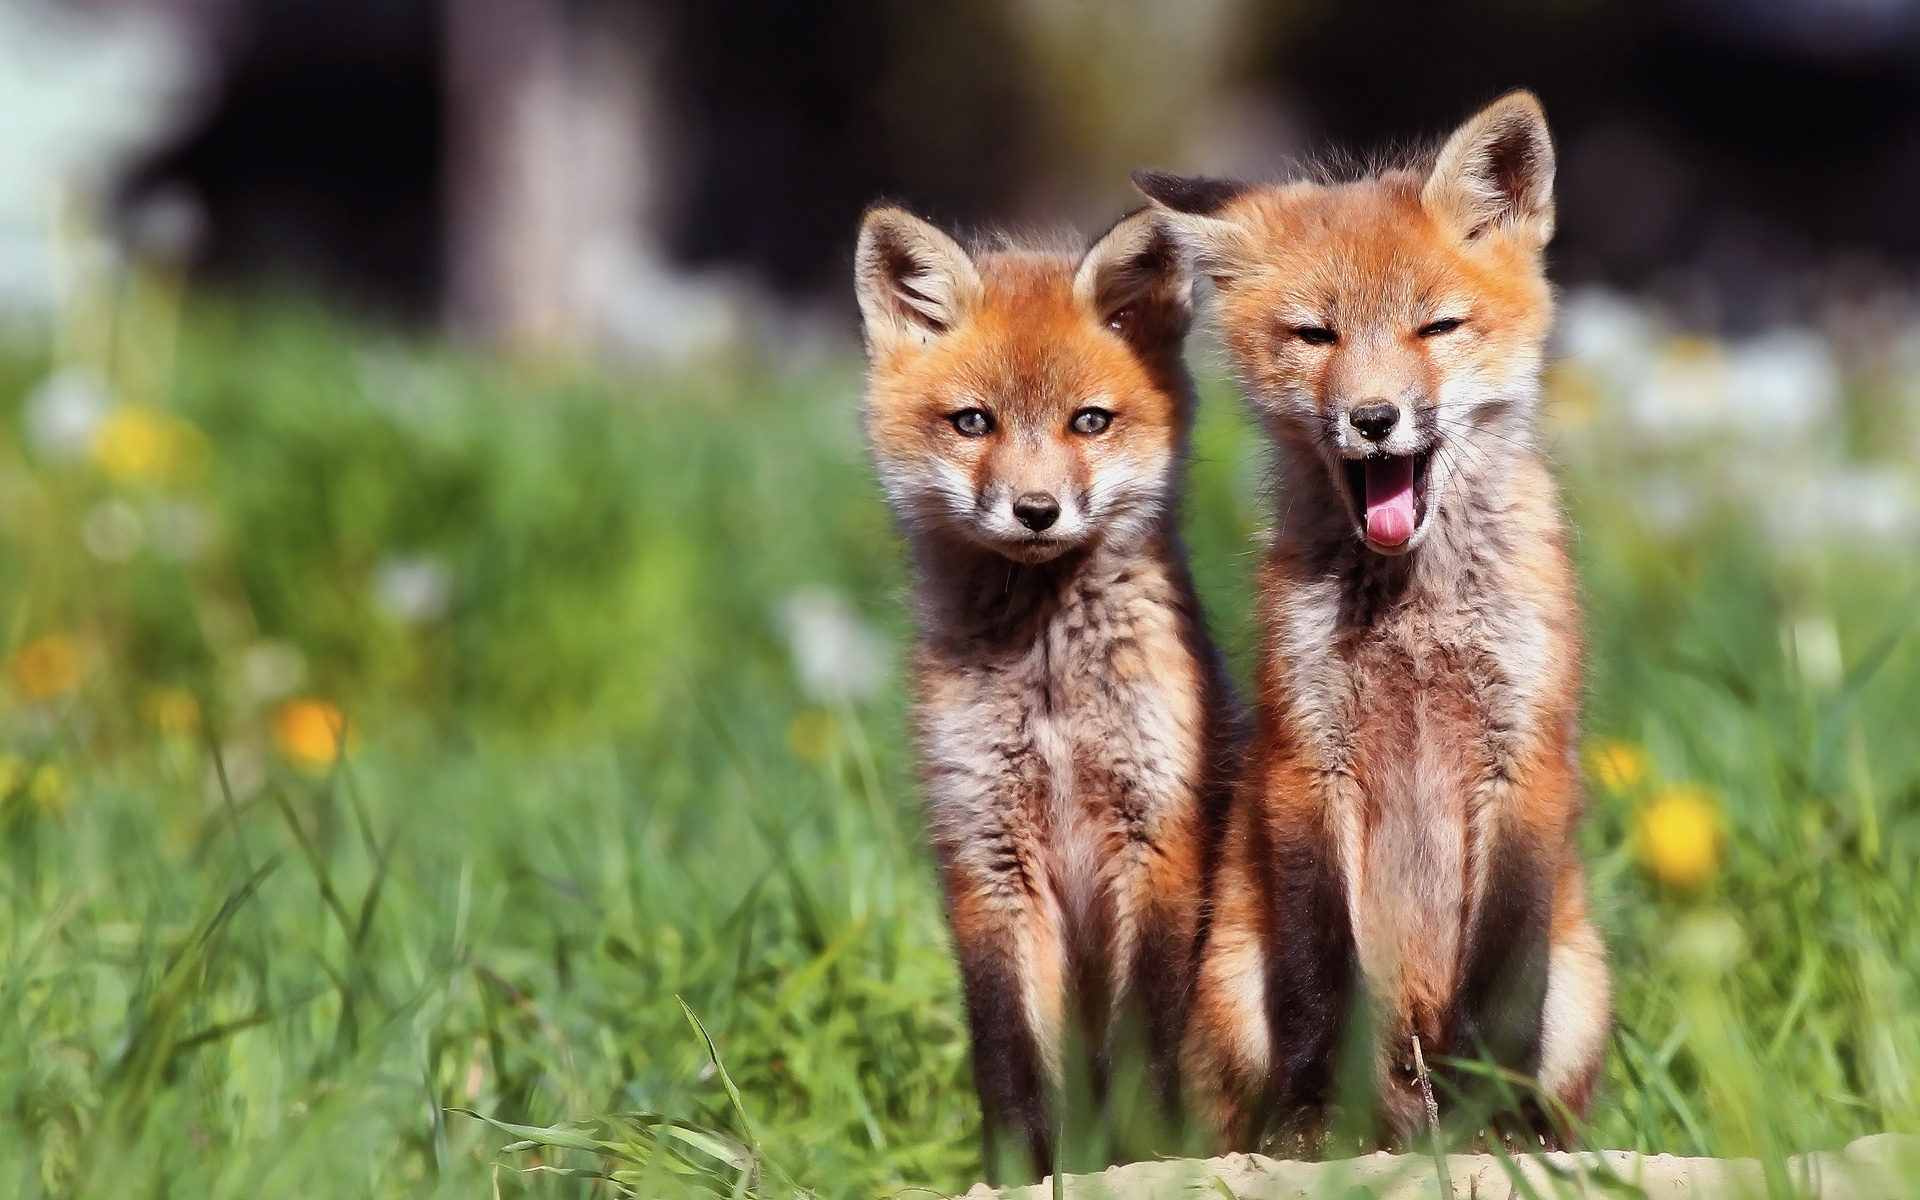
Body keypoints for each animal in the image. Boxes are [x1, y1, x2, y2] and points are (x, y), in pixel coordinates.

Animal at [852, 205, 1241, 1179]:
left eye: (1089, 421)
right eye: (973, 422)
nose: (1036, 511)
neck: (1052, 689)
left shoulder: (1158, 837)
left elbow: (1140, 1044)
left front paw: (1140, 1154)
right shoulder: (986, 851)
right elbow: (1008, 1057)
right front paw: (1020, 1173)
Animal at [1132, 91, 1610, 1149]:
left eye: (1437, 326)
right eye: (1317, 335)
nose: (1376, 418)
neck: (1413, 613)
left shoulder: (1525, 759)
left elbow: (1500, 984)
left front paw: (1494, 1118)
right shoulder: (1310, 757)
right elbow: (1321, 976)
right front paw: (1319, 1114)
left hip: (1582, 990)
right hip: (1235, 987)